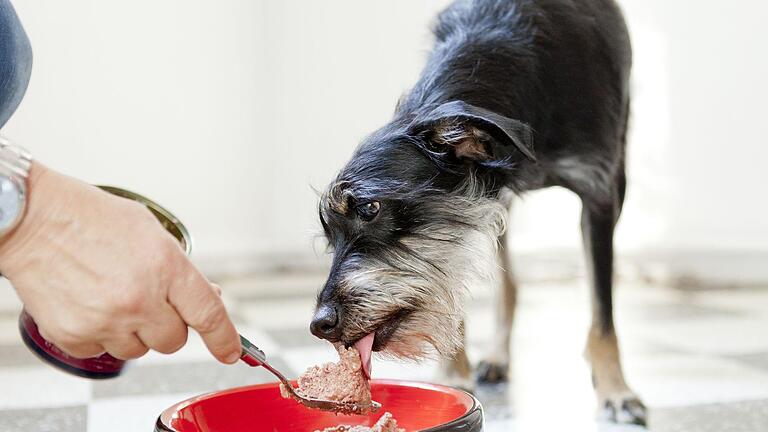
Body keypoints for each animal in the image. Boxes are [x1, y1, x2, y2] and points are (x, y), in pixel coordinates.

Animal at [308, 0, 644, 426]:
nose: (320, 324)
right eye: (329, 237)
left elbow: (603, 314)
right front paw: (453, 374)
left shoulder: (600, 192)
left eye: (370, 207)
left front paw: (615, 391)